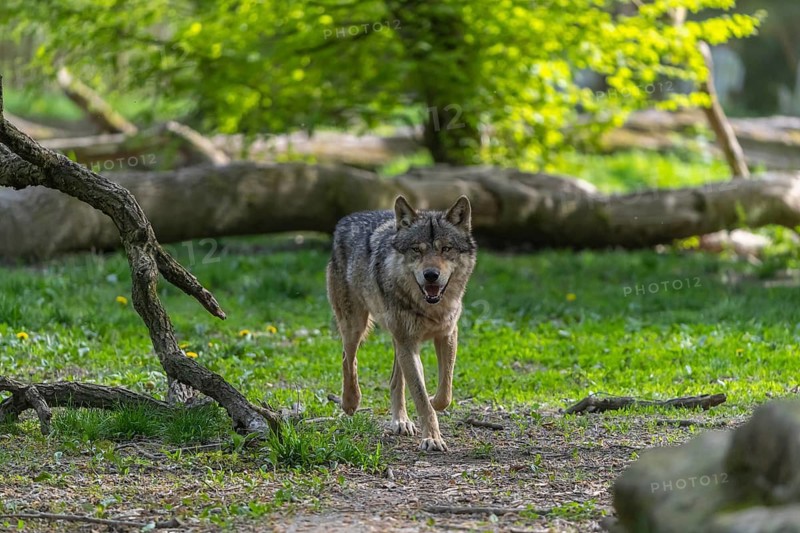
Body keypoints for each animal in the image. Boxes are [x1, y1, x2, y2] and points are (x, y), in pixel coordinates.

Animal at [327, 195, 477, 451]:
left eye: (446, 249)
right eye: (417, 249)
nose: (431, 275)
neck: (429, 308)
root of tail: (346, 219)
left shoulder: (447, 334)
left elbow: (444, 393)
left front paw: (434, 404)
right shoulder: (408, 343)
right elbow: (421, 396)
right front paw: (432, 438)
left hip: (397, 339)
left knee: (395, 380)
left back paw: (401, 421)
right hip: (356, 326)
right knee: (348, 358)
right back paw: (350, 403)